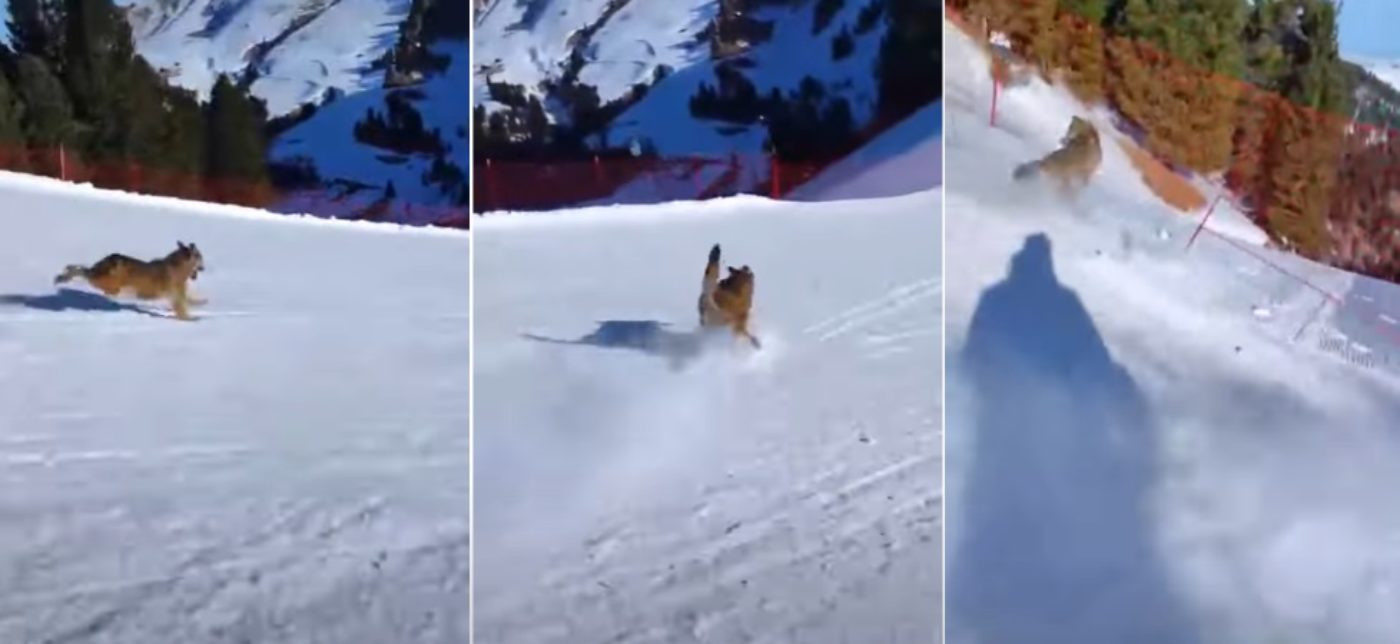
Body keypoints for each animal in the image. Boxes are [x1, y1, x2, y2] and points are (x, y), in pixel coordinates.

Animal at [52, 240, 205, 320]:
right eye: (199, 257)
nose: (203, 267)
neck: (179, 267)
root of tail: (110, 258)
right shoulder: (175, 294)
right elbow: (183, 306)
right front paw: (191, 319)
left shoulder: (178, 293)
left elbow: (190, 301)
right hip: (108, 283)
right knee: (85, 273)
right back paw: (63, 277)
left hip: (108, 282)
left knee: (84, 270)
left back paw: (64, 275)